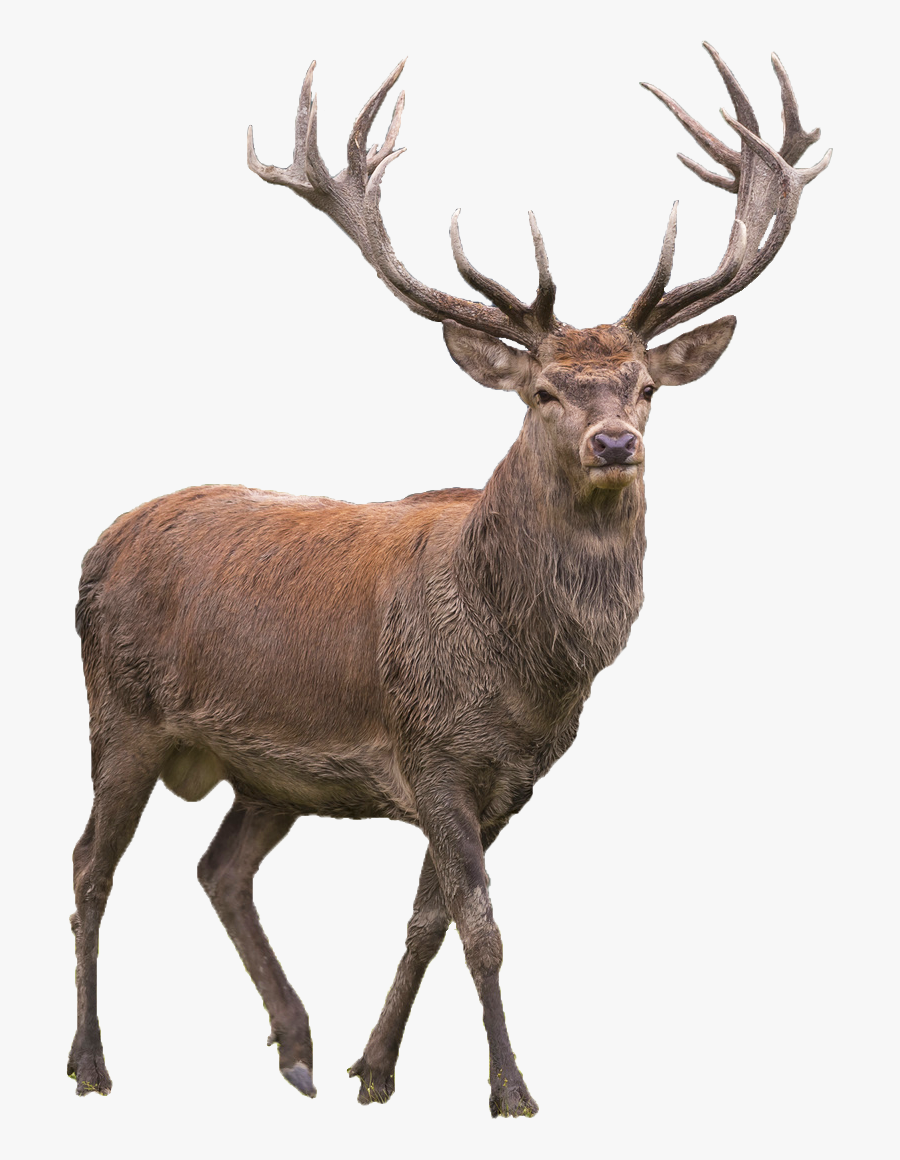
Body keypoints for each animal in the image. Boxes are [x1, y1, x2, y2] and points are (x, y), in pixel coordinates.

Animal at [68, 44, 829, 1116]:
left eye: (645, 386)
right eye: (543, 390)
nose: (615, 442)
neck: (524, 671)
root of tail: (98, 545)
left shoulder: (508, 778)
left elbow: (429, 921)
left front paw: (376, 1069)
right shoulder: (429, 749)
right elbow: (482, 929)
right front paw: (510, 1088)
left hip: (266, 773)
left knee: (219, 868)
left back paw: (297, 1047)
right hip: (121, 714)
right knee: (91, 866)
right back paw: (92, 1062)